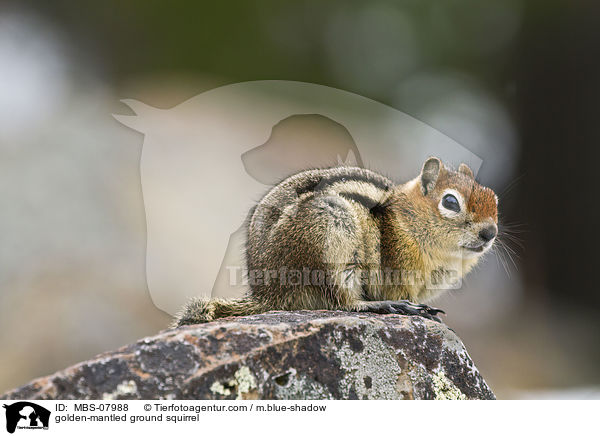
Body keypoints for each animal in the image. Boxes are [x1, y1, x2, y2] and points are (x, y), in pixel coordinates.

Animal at [173, 158, 496, 328]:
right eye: (451, 202)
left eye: (494, 200)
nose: (490, 233)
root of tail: (268, 294)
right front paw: (412, 307)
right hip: (330, 237)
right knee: (342, 301)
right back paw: (386, 306)